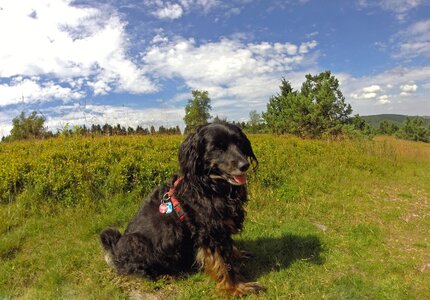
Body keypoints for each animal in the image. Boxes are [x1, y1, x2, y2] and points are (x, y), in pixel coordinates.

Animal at [100, 122, 266, 296]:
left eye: (239, 143)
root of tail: (115, 252)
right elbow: (223, 264)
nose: (244, 165)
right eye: (217, 148)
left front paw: (238, 255)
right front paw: (236, 287)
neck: (209, 185)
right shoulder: (209, 231)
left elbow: (229, 248)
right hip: (136, 241)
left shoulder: (222, 225)